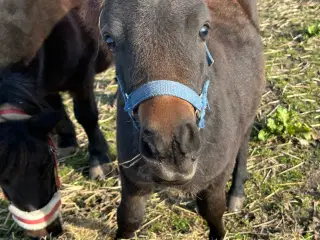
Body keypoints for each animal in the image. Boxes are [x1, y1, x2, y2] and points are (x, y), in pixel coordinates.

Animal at [100, 0, 264, 239]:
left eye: (204, 29)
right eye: (109, 39)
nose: (170, 148)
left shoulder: (216, 178)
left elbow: (213, 212)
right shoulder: (132, 182)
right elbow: (129, 219)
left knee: (244, 139)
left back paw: (237, 193)